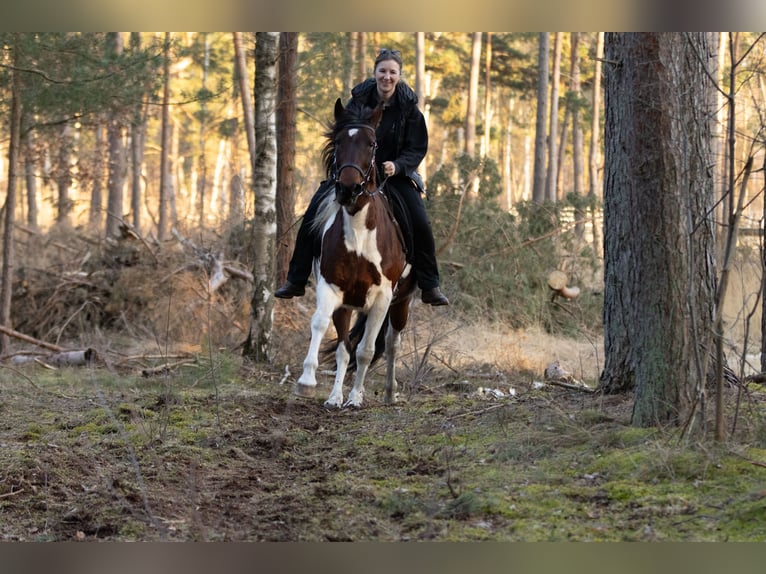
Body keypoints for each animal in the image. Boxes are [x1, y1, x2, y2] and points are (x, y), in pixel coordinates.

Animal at [292, 99, 414, 410]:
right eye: (338, 142)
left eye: (372, 144)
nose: (348, 188)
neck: (359, 237)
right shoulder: (332, 288)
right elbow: (328, 331)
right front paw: (311, 384)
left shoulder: (383, 298)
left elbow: (366, 351)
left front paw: (356, 397)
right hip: (349, 305)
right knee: (346, 345)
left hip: (402, 301)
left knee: (392, 343)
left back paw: (389, 392)